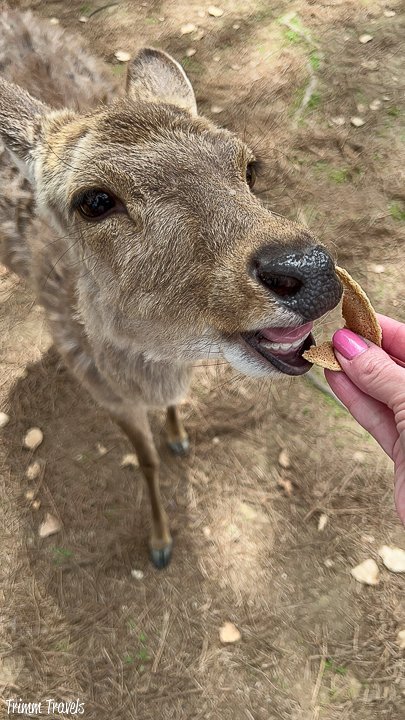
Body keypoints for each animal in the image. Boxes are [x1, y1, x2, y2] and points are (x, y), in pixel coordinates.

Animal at [0, 10, 342, 567]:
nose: (308, 270)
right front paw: (160, 543)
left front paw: (180, 437)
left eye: (249, 166)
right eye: (94, 200)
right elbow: (146, 462)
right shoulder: (110, 398)